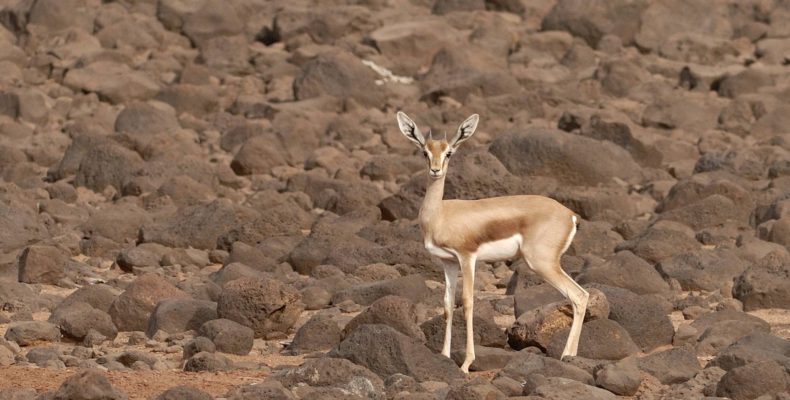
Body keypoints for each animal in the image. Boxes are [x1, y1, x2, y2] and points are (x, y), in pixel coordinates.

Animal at [395, 111, 589, 373]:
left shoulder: (467, 257)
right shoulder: (448, 262)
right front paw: (444, 356)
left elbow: (467, 302)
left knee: (578, 296)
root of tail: (570, 215)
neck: (440, 215)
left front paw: (466, 363)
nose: (435, 170)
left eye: (449, 152)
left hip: (542, 263)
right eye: (425, 152)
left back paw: (566, 356)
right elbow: (447, 304)